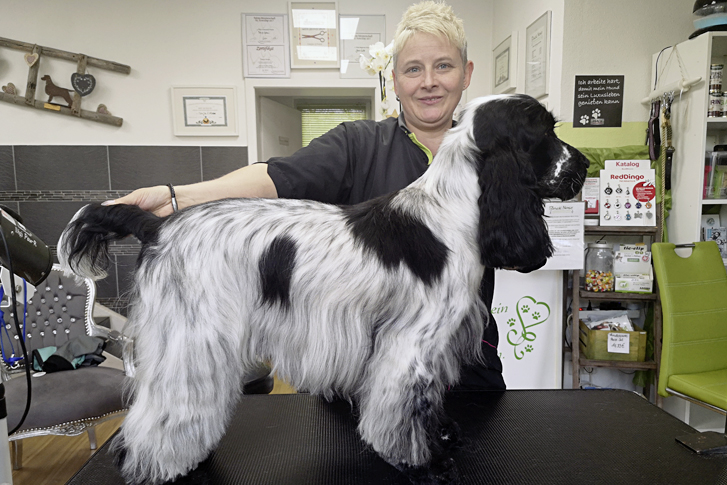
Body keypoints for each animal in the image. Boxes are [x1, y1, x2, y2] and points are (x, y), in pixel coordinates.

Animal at [58, 92, 592, 482]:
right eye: (545, 131)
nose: (586, 165)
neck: (455, 210)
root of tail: (158, 225)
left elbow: (426, 403)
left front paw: (440, 437)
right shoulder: (410, 343)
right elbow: (401, 409)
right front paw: (424, 464)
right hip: (192, 338)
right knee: (160, 411)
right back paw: (157, 464)